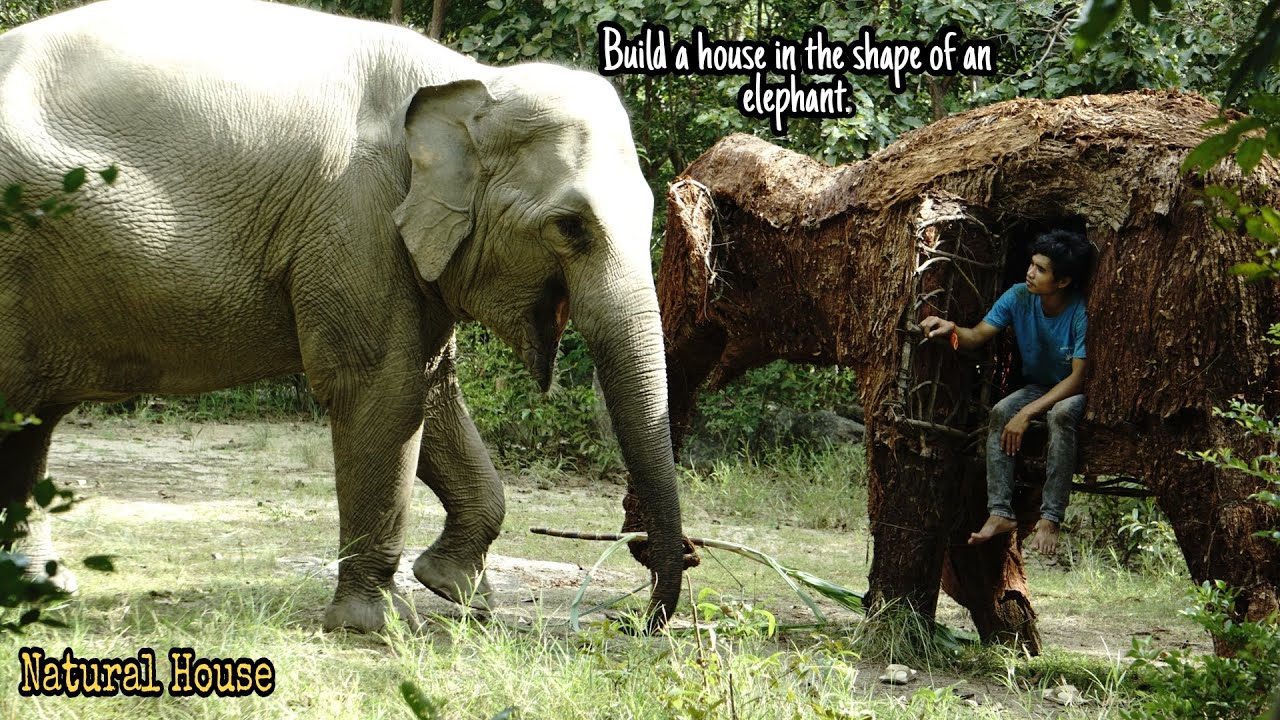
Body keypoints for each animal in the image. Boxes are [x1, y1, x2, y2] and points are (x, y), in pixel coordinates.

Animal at [0, 0, 686, 632]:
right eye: (571, 228)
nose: (638, 620)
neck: (471, 82)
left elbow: (430, 391)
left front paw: (456, 591)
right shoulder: (357, 219)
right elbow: (383, 388)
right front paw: (373, 625)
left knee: (29, 421)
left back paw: (42, 593)